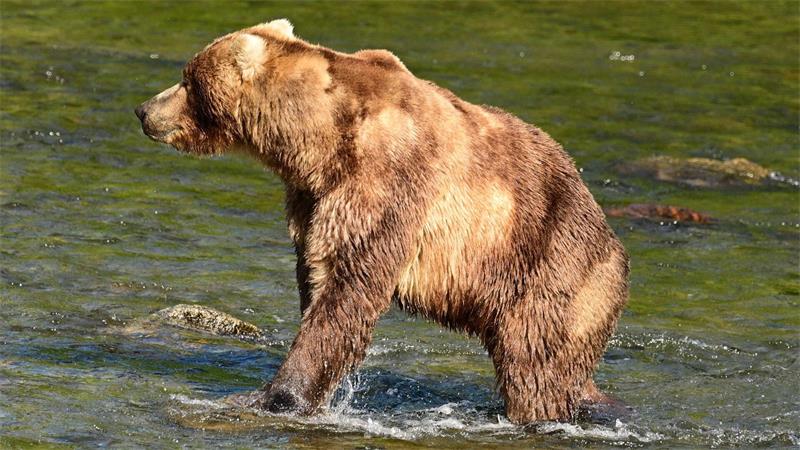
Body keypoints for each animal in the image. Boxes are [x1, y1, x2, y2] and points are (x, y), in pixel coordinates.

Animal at [135, 19, 629, 424]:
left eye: (186, 79)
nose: (143, 110)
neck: (313, 144)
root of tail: (613, 241)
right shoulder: (313, 199)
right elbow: (317, 274)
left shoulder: (385, 180)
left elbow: (350, 286)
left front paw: (275, 395)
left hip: (548, 263)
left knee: (534, 361)